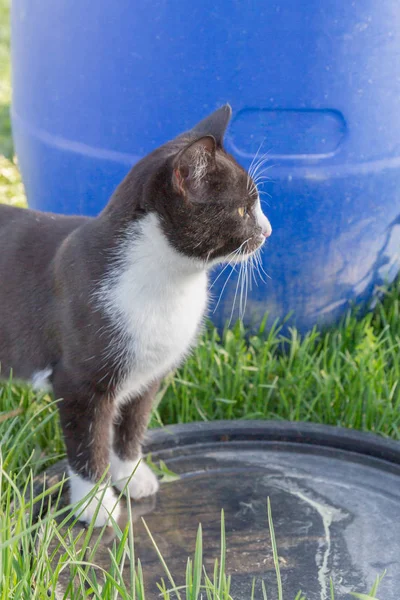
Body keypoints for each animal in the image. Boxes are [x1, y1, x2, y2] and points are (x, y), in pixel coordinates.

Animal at [0, 105, 272, 528]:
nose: (268, 231)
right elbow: (88, 443)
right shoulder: (79, 381)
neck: (169, 284)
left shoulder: (149, 375)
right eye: (244, 209)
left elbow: (131, 428)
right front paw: (95, 504)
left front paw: (131, 477)